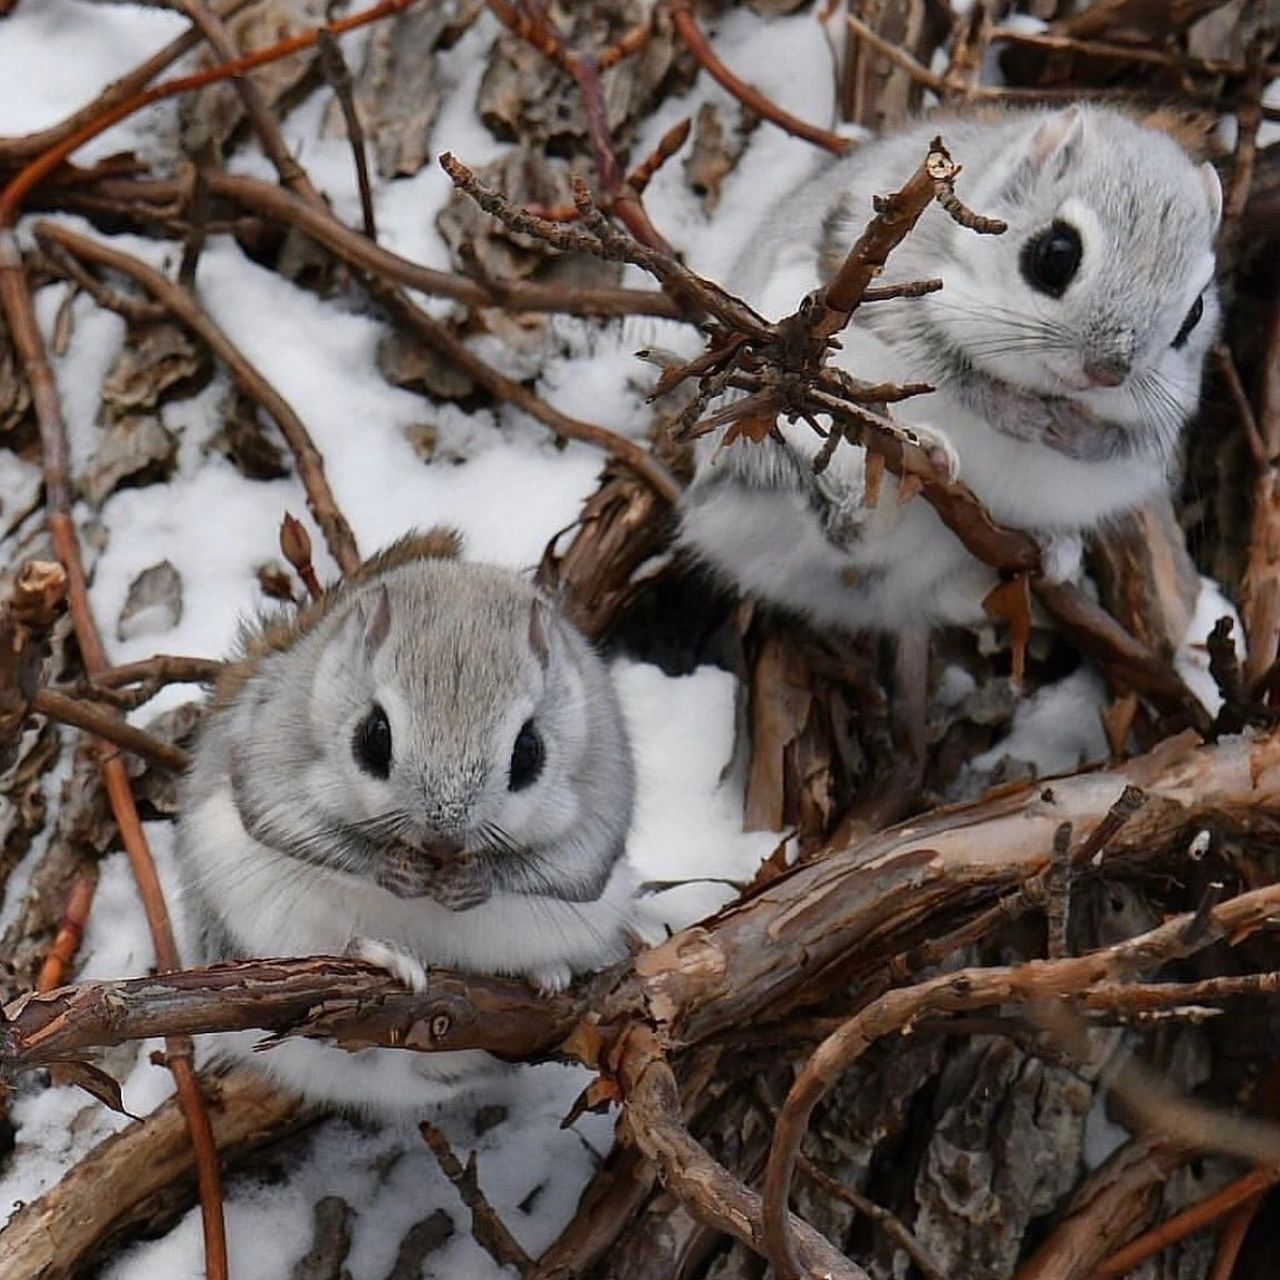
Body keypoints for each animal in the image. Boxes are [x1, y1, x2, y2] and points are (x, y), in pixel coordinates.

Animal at [177, 529, 637, 1111]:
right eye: (374, 736)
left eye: (530, 751)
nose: (444, 838)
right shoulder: (272, 761)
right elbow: (295, 827)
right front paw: (397, 870)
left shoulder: (601, 797)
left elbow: (569, 867)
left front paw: (473, 882)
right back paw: (381, 955)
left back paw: (547, 970)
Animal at [680, 103, 1218, 629]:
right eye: (1055, 254)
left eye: (1195, 313)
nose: (1107, 372)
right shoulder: (894, 287)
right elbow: (946, 364)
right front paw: (1016, 413)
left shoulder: (1162, 419)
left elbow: (1130, 439)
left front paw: (1076, 433)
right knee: (849, 526)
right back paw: (917, 458)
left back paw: (1051, 552)